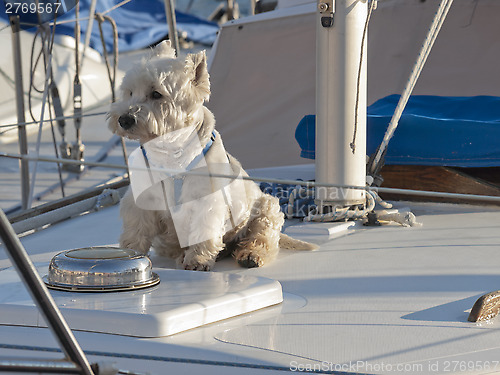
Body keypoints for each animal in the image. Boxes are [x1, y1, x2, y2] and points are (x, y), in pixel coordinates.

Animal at [108, 40, 316, 270]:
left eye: (156, 93)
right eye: (129, 92)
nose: (124, 119)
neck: (171, 155)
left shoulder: (207, 202)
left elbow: (203, 231)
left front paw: (197, 260)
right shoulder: (141, 201)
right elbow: (136, 230)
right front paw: (129, 254)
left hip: (265, 207)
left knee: (263, 237)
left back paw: (250, 254)